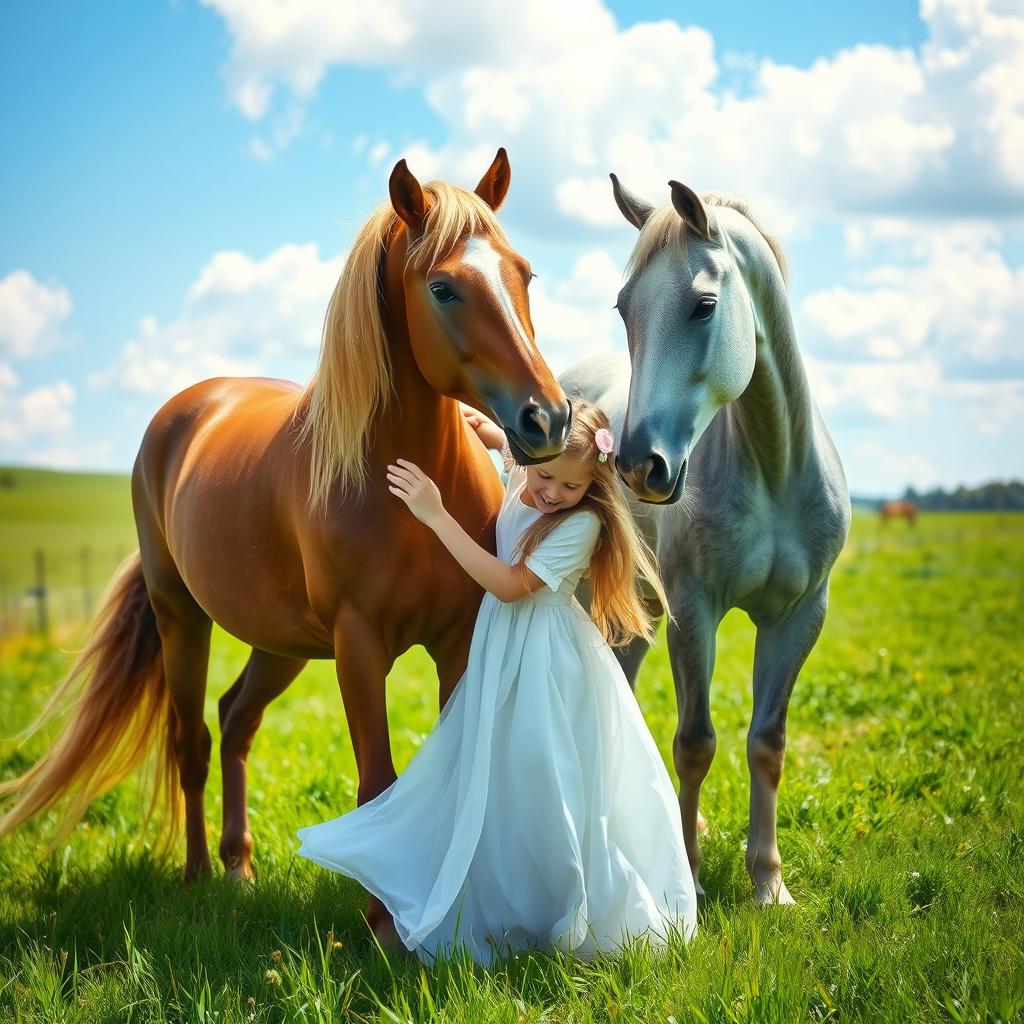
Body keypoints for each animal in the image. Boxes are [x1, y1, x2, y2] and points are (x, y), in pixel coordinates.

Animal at [0, 150, 571, 938]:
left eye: (525, 273)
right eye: (444, 287)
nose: (547, 418)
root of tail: (189, 408)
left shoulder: (457, 640)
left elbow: (454, 779)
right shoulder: (358, 644)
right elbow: (378, 783)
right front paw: (385, 929)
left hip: (281, 643)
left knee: (236, 719)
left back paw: (239, 868)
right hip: (183, 619)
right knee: (192, 739)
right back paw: (197, 877)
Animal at [562, 177, 850, 904]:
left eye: (704, 306)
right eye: (625, 308)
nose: (639, 465)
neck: (774, 467)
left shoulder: (799, 617)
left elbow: (767, 743)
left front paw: (769, 884)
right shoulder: (694, 610)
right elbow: (695, 741)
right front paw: (687, 881)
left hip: (637, 612)